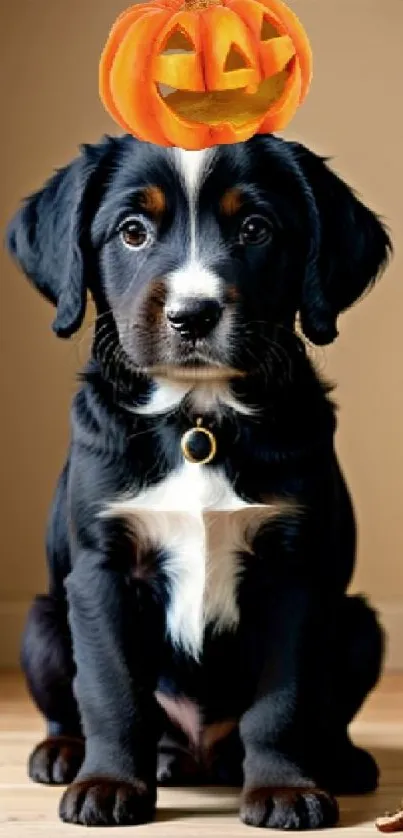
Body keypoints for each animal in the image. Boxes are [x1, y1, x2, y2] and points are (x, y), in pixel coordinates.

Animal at [6, 135, 392, 832]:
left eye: (255, 229)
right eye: (132, 231)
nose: (193, 315)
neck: (198, 420)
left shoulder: (290, 570)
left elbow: (283, 702)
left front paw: (284, 789)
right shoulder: (104, 570)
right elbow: (110, 691)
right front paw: (108, 783)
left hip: (358, 623)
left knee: (326, 710)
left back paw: (340, 760)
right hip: (43, 621)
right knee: (66, 702)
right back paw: (66, 753)